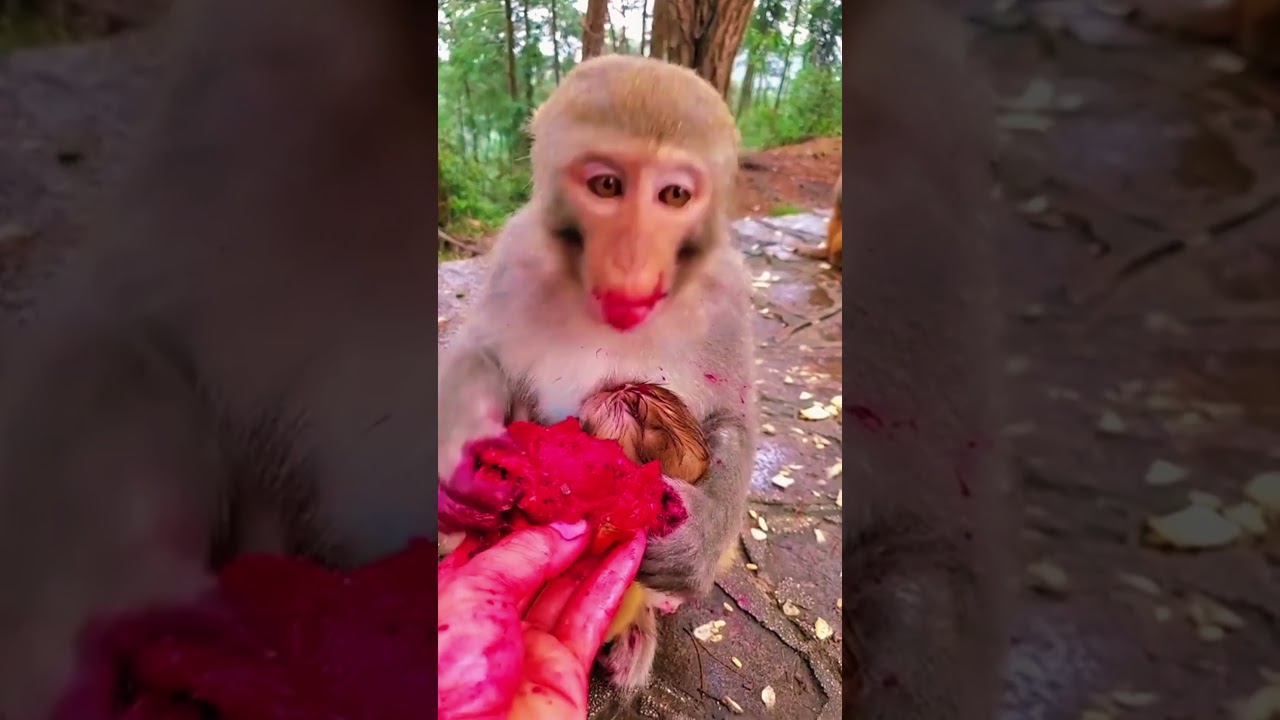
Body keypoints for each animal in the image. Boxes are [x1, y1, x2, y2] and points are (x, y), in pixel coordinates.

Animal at [436, 54, 757, 695]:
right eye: (607, 186)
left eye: (674, 195)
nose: (632, 258)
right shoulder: (518, 256)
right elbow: (484, 354)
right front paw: (464, 461)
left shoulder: (726, 295)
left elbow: (731, 417)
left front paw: (697, 537)